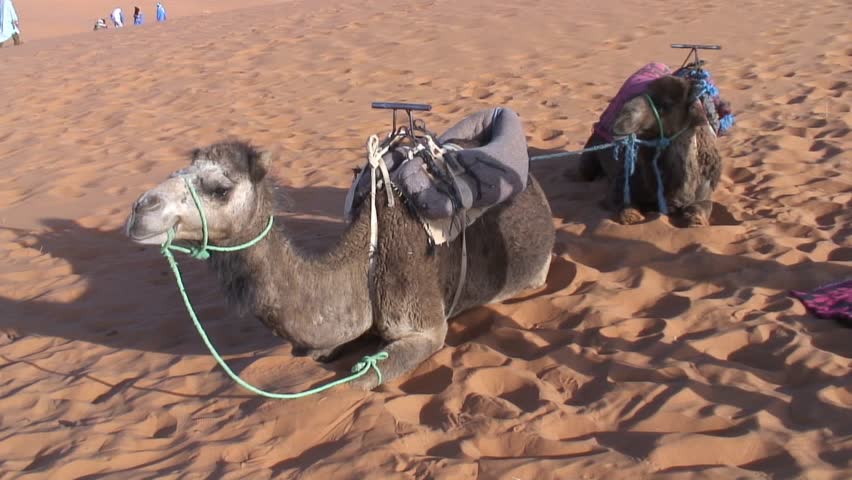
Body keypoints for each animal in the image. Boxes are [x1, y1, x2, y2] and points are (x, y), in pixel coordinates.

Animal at [125, 140, 555, 390]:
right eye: (175, 172)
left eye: (219, 188)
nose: (139, 210)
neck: (365, 263)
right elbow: (316, 351)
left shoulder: (424, 329)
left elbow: (354, 384)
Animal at [578, 74, 722, 227]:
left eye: (666, 104)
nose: (619, 123)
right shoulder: (619, 186)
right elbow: (625, 206)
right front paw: (631, 216)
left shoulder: (704, 195)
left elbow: (699, 209)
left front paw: (695, 219)